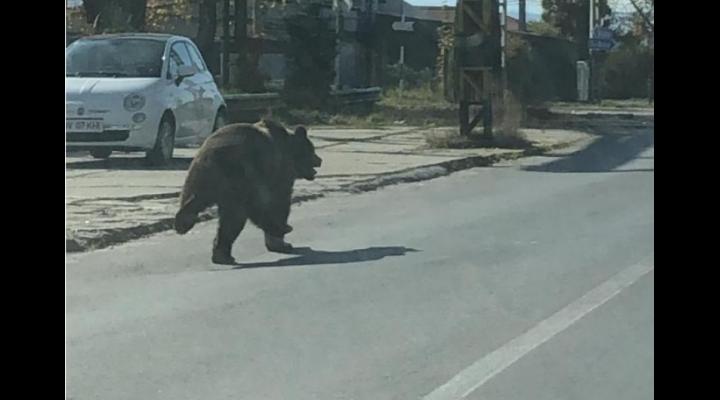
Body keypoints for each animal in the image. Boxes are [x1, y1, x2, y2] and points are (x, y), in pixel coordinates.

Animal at [173, 118, 322, 266]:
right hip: (243, 174)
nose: (319, 160)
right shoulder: (279, 170)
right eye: (312, 150)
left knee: (200, 203)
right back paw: (280, 228)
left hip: (201, 176)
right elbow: (280, 200)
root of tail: (214, 155)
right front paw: (281, 243)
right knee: (242, 213)